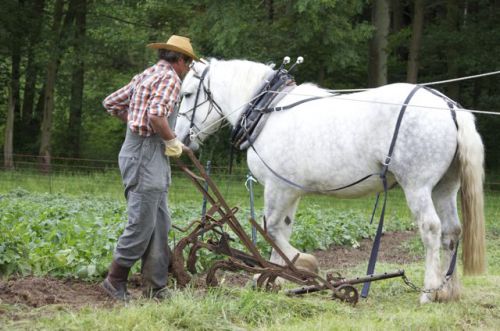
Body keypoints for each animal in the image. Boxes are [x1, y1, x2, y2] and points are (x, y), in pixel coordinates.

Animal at [175, 59, 484, 304]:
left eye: (187, 94)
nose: (180, 139)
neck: (267, 111)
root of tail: (449, 107)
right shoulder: (290, 190)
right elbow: (281, 230)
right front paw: (277, 277)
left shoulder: (278, 187)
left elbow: (271, 229)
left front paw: (301, 265)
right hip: (445, 187)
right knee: (452, 232)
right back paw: (447, 289)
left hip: (417, 186)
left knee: (431, 229)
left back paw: (429, 292)